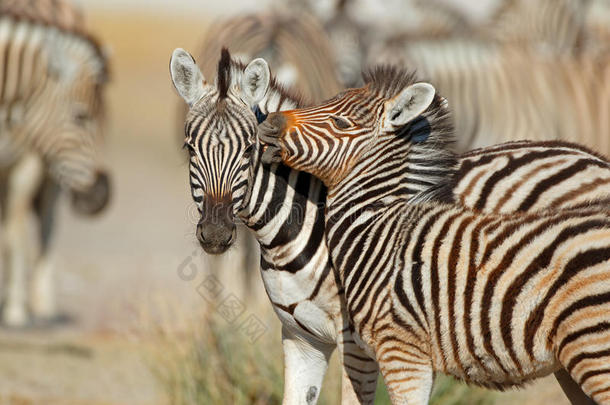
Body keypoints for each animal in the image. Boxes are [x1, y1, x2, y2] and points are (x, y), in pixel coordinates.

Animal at [0, 0, 110, 326]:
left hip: (48, 169)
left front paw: (15, 310)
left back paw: (41, 303)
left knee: (46, 224)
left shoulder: (26, 159)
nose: (101, 194)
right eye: (80, 116)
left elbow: (15, 235)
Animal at [170, 50, 608, 404]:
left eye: (249, 149)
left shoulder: (358, 343)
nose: (215, 234)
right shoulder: (301, 339)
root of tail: (588, 156)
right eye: (189, 148)